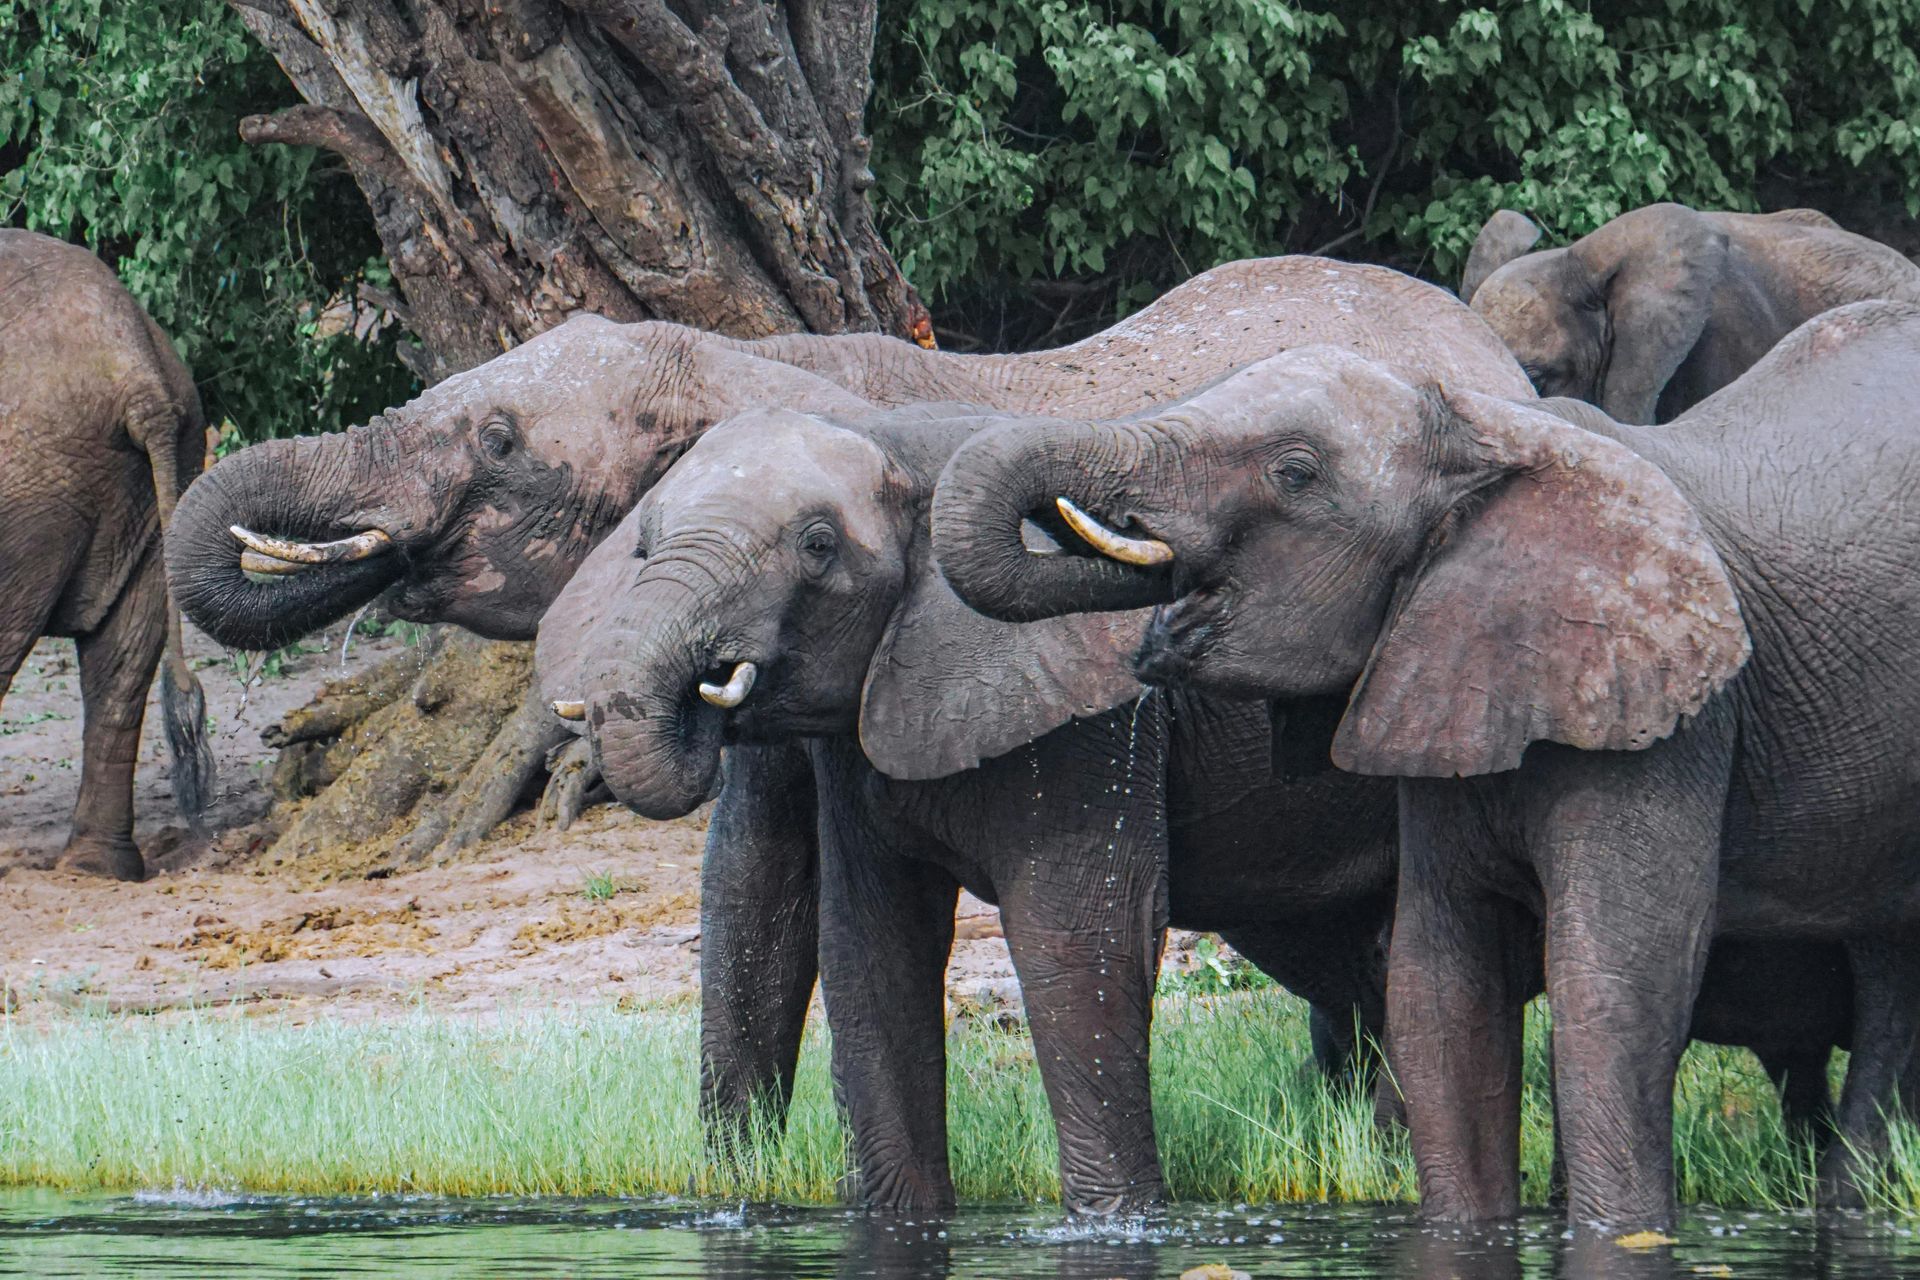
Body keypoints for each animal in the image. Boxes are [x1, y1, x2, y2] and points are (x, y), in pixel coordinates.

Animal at [930, 299, 1920, 1231]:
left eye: (1294, 473)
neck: (1485, 434)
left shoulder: (1678, 723)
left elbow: (1616, 989)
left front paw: (1621, 1232)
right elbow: (1441, 991)